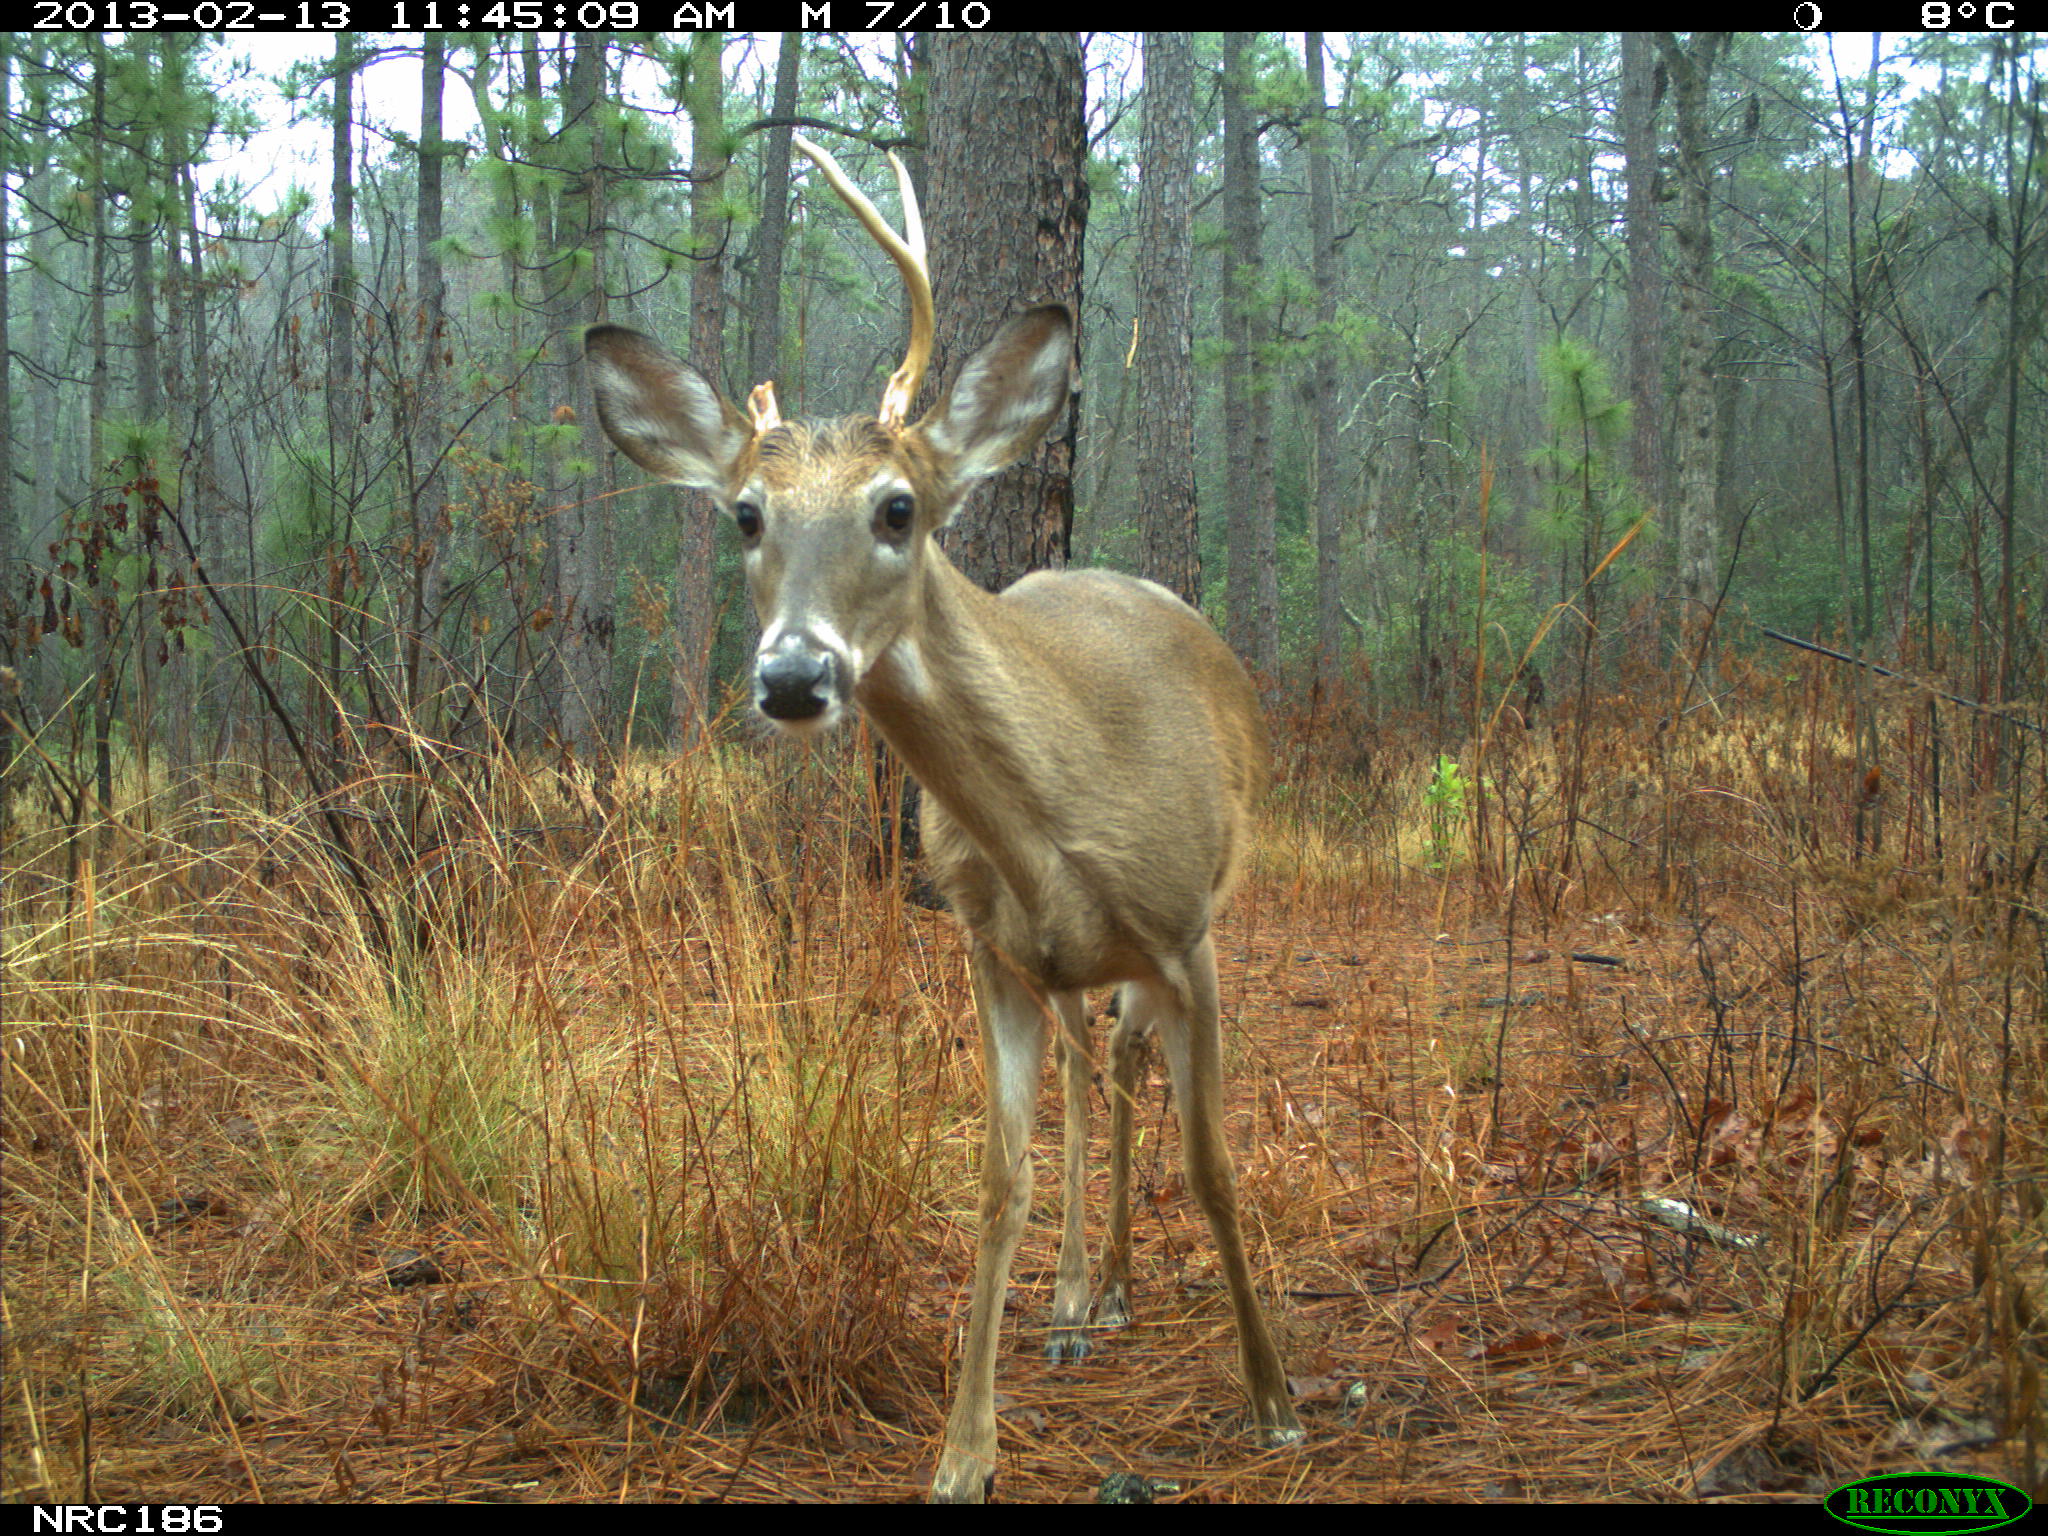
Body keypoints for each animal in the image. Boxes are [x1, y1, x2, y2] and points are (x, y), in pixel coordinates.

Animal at [585, 132, 1302, 1507]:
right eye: (745, 516)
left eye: (896, 507)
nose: (793, 677)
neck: (1057, 817)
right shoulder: (989, 948)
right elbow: (995, 1180)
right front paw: (965, 1449)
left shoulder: (1187, 934)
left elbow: (1214, 1165)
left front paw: (1272, 1397)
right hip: (1058, 967)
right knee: (1093, 1069)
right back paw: (1085, 1295)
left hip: (1166, 944)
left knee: (1122, 1070)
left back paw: (1122, 1290)